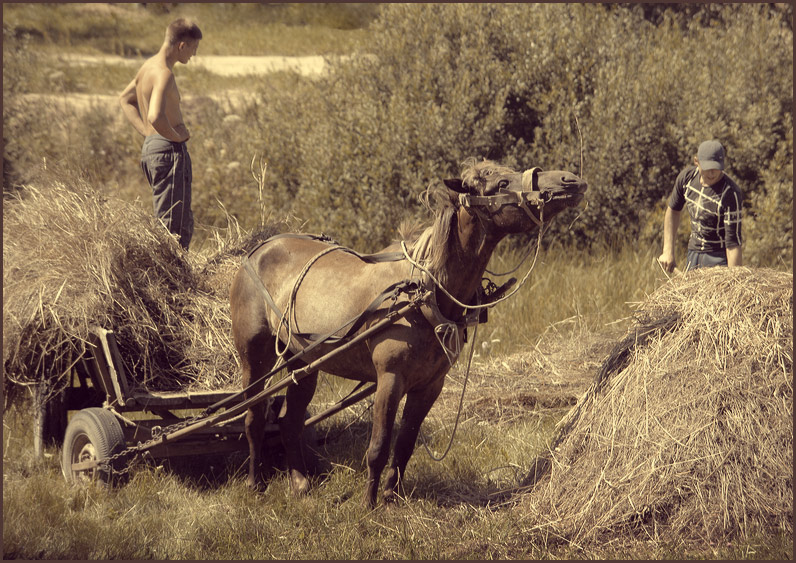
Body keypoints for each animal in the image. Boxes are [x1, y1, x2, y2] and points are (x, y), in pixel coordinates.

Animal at [227, 158, 588, 506]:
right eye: (501, 183)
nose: (570, 181)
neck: (423, 291)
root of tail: (258, 249)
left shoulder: (430, 384)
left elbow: (406, 442)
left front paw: (392, 495)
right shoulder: (390, 379)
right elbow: (379, 445)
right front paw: (369, 504)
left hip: (303, 361)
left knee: (289, 419)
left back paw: (299, 482)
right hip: (254, 356)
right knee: (254, 417)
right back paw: (255, 483)